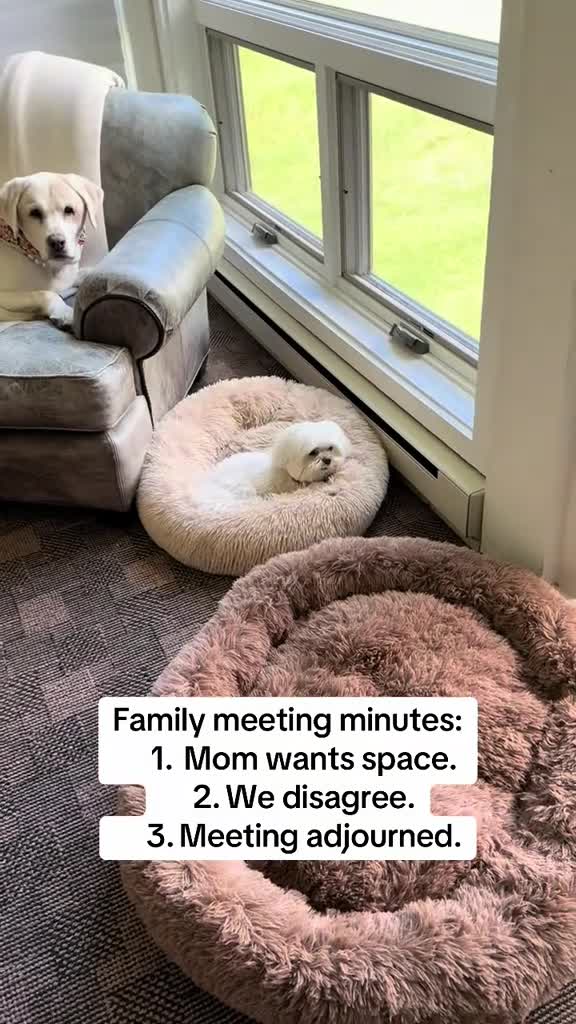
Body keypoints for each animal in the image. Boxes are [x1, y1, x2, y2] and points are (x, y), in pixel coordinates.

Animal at [0, 171, 102, 329]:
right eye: (34, 213)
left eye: (69, 210)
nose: (57, 242)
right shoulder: (6, 295)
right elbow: (43, 293)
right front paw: (64, 312)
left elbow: (85, 272)